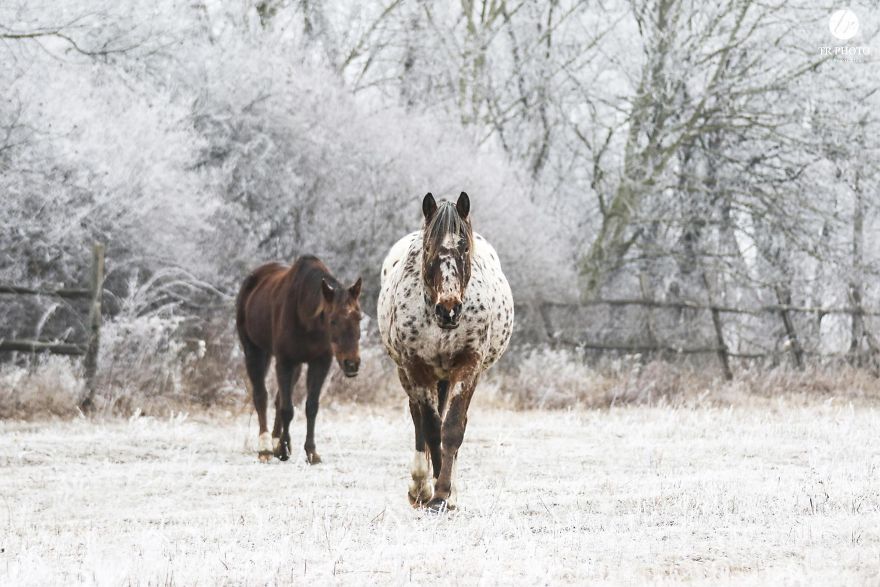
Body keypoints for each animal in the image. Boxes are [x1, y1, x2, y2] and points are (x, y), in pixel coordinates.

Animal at [236, 255, 362, 463]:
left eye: (359, 318)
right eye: (333, 320)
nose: (352, 363)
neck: (306, 318)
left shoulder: (319, 362)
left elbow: (310, 406)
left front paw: (310, 451)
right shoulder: (285, 361)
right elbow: (287, 409)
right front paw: (284, 450)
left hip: (294, 365)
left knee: (278, 398)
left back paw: (275, 442)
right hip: (254, 350)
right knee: (261, 396)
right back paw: (265, 448)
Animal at [377, 192, 514, 511]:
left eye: (464, 247)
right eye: (429, 247)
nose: (449, 310)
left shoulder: (468, 367)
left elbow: (451, 429)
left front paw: (445, 494)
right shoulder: (416, 368)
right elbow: (430, 428)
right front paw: (435, 492)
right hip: (409, 375)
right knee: (418, 420)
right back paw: (419, 487)